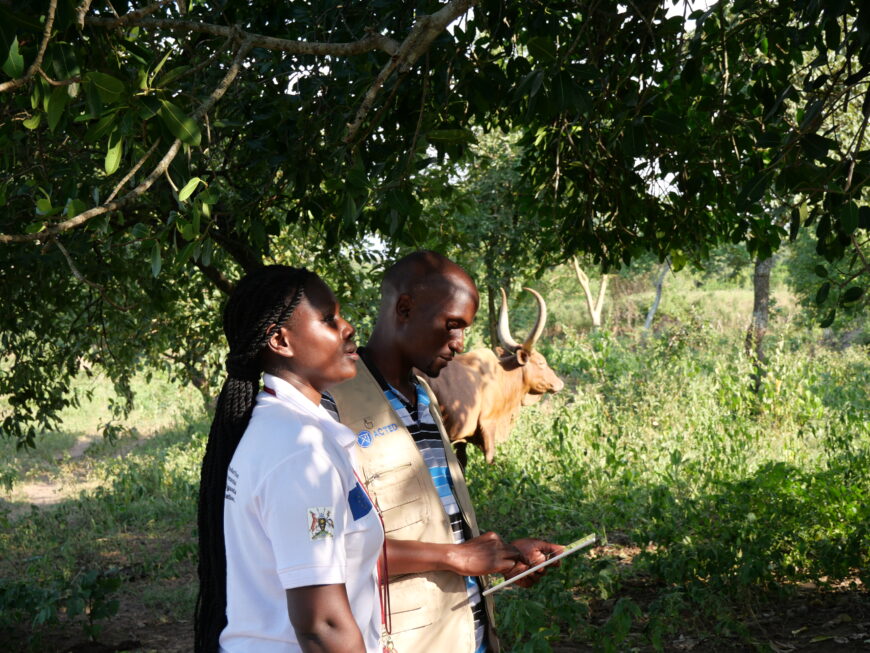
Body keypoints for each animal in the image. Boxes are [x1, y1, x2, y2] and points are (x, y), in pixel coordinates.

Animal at [424, 288, 564, 466]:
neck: (501, 376)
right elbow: (490, 459)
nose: (559, 383)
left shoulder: (462, 439)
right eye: (541, 362)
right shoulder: (488, 425)